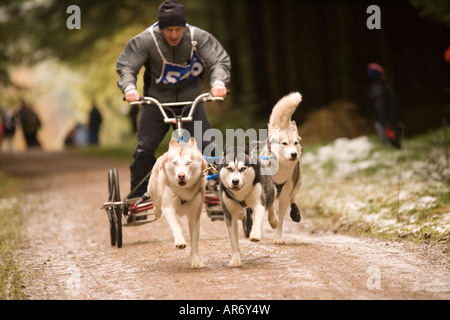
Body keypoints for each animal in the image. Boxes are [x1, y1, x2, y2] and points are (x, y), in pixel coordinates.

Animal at [149, 137, 209, 268]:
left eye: (188, 163)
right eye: (175, 163)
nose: (181, 175)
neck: (184, 191)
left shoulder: (195, 215)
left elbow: (194, 240)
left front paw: (195, 260)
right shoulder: (169, 209)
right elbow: (176, 225)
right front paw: (180, 241)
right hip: (154, 191)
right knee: (156, 204)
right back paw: (156, 211)